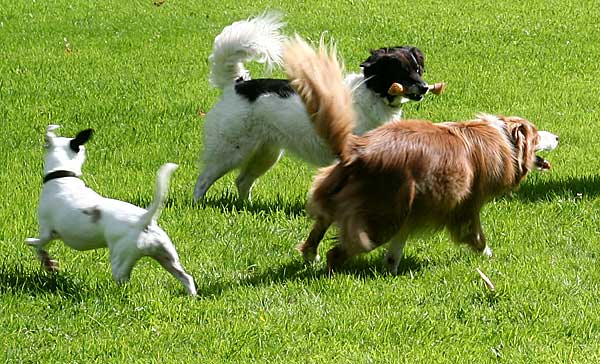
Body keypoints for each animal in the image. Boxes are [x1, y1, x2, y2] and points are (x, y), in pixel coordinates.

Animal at [26, 126, 197, 296]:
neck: (63, 176)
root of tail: (143, 220)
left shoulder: (47, 230)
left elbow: (39, 245)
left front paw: (44, 258)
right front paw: (50, 264)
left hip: (121, 260)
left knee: (123, 281)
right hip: (166, 256)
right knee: (186, 277)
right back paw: (191, 296)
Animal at [195, 12, 434, 202]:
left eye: (418, 70)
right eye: (401, 72)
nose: (424, 88)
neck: (373, 96)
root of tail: (237, 85)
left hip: (266, 153)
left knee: (242, 181)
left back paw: (247, 207)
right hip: (230, 150)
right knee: (203, 180)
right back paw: (198, 205)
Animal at [284, 38, 556, 274]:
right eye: (536, 135)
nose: (557, 137)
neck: (503, 139)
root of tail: (355, 148)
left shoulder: (412, 211)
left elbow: (397, 247)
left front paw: (391, 270)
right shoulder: (466, 206)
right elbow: (477, 236)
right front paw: (489, 257)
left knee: (320, 226)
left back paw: (311, 255)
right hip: (381, 216)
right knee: (338, 252)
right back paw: (331, 273)